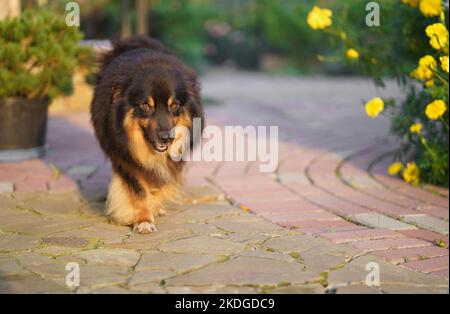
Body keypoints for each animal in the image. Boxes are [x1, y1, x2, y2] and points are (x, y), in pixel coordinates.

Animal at [91, 36, 206, 233]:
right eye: (146, 106)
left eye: (174, 105)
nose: (167, 137)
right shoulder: (124, 160)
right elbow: (139, 191)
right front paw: (143, 220)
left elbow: (158, 182)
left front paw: (154, 208)